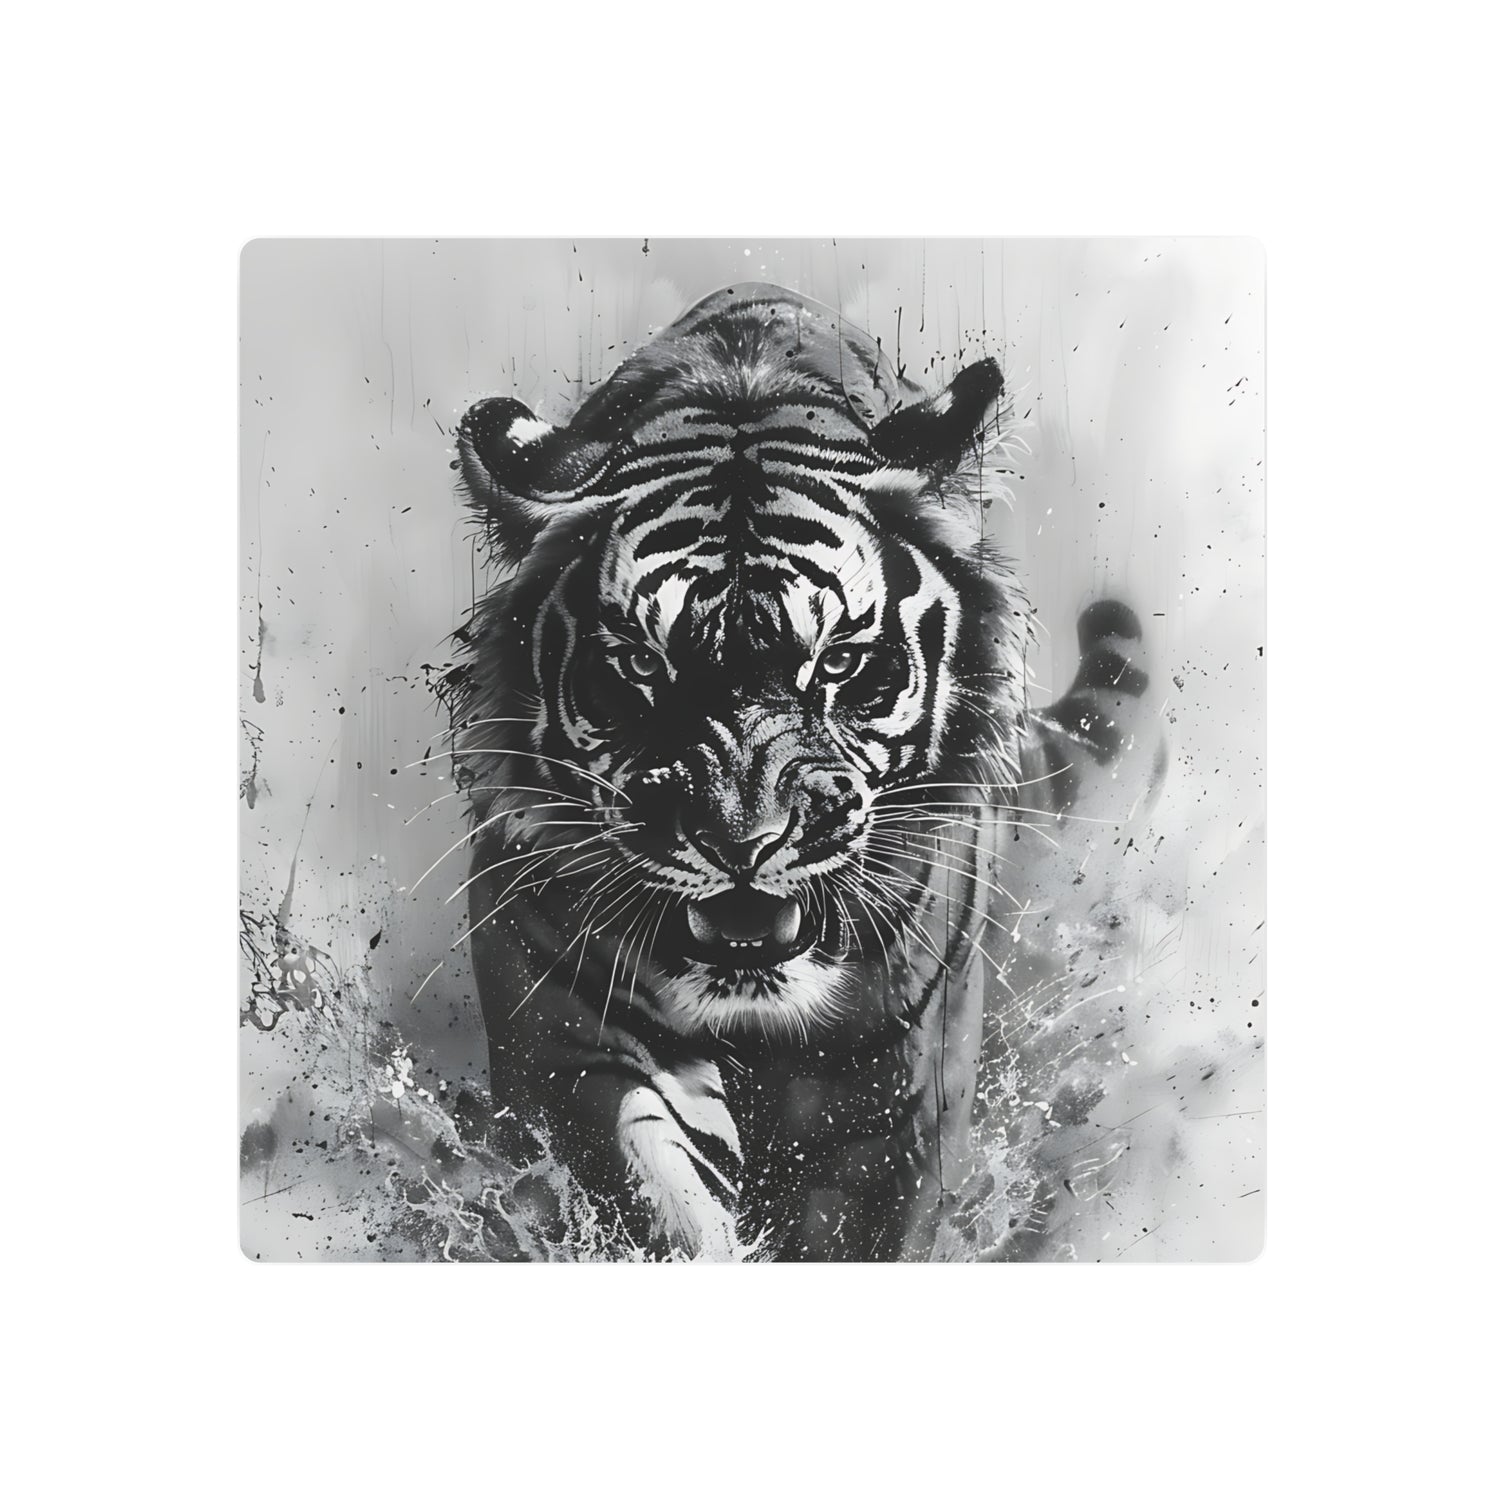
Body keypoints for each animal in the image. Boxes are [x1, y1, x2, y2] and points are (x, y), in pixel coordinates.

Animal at [444, 283, 1163, 1260]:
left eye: (840, 664)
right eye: (641, 666)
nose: (742, 846)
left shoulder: (896, 1107)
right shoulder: (570, 1049)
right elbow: (657, 1200)